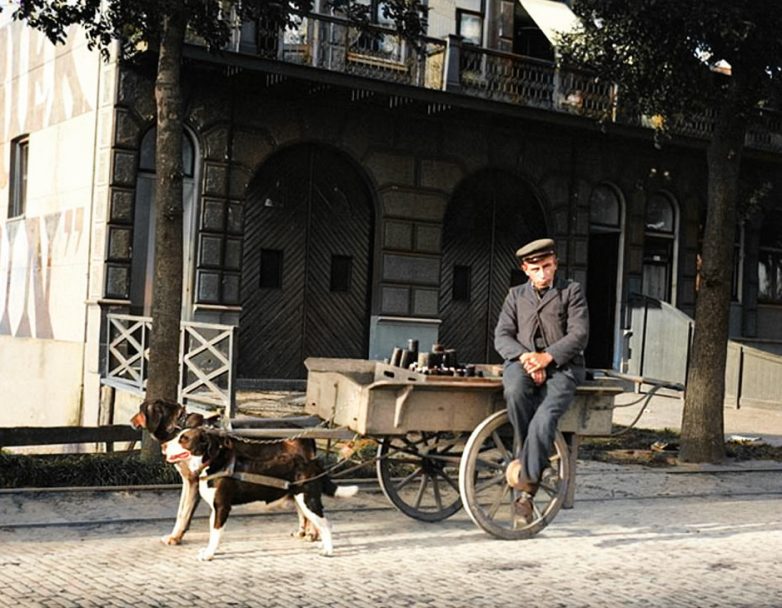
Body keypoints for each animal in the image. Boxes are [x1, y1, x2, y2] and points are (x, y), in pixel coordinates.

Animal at [132, 400, 318, 548]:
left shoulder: (194, 482)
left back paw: (312, 534)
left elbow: (184, 513)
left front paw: (175, 538)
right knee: (302, 509)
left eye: (140, 409)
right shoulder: (188, 482)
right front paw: (176, 536)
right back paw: (303, 532)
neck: (180, 425)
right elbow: (180, 512)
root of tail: (306, 435)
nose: (131, 420)